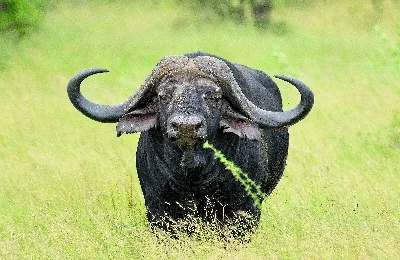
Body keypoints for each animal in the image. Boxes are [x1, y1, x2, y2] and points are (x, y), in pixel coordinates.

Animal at [68, 51, 312, 237]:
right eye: (163, 95)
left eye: (213, 97)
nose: (186, 127)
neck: (194, 176)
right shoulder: (158, 209)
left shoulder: (245, 209)